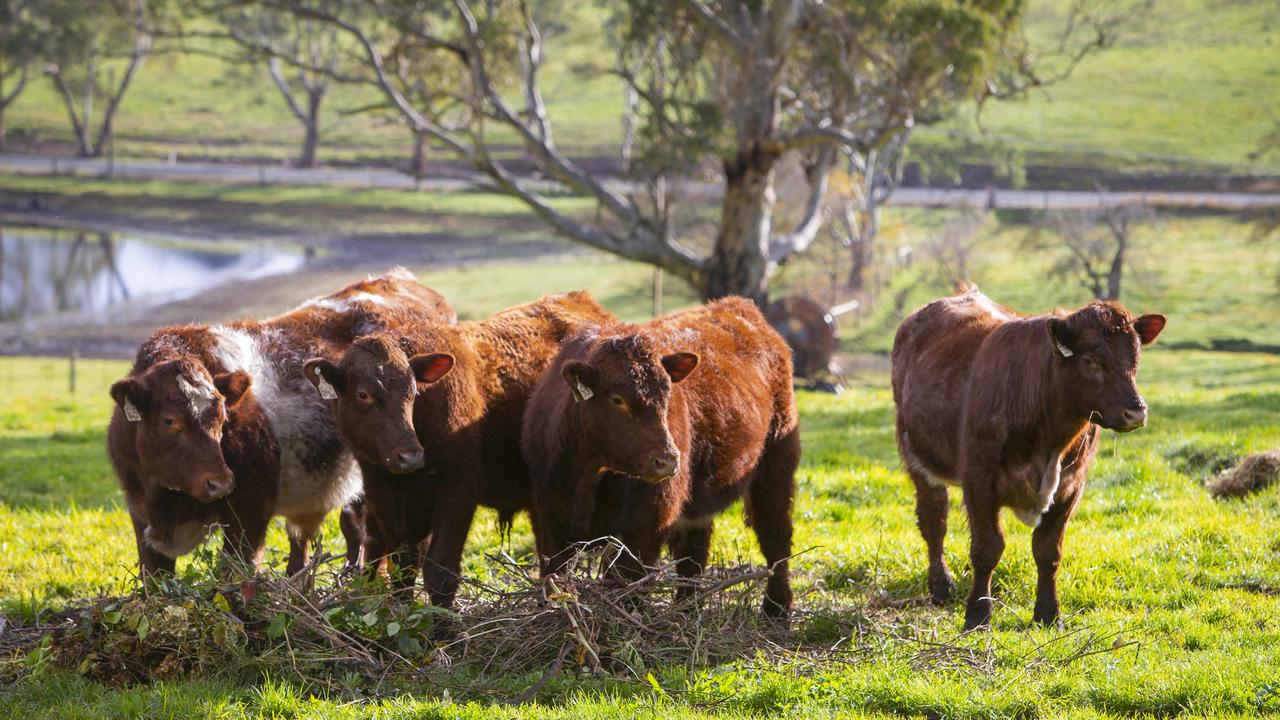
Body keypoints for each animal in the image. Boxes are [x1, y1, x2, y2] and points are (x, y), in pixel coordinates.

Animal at [107, 269, 455, 576]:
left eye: (222, 415)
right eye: (169, 421)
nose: (219, 482)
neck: (164, 497)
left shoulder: (250, 510)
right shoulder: (141, 519)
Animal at [304, 289, 614, 604]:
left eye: (413, 391)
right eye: (363, 394)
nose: (410, 457)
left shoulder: (457, 492)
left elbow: (440, 572)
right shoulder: (386, 502)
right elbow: (402, 570)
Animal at [519, 297, 798, 617]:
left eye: (667, 395)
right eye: (617, 399)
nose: (667, 460)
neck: (589, 475)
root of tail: (742, 308)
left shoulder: (648, 522)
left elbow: (628, 585)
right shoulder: (548, 517)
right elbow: (554, 578)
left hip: (775, 468)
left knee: (775, 538)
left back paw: (776, 609)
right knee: (694, 553)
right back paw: (688, 609)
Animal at [896, 285, 1167, 627]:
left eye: (1135, 356)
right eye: (1090, 361)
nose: (1136, 412)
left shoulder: (1071, 486)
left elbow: (1048, 550)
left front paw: (1049, 613)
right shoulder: (979, 480)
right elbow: (987, 548)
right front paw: (978, 615)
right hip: (917, 457)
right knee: (934, 521)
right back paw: (941, 585)